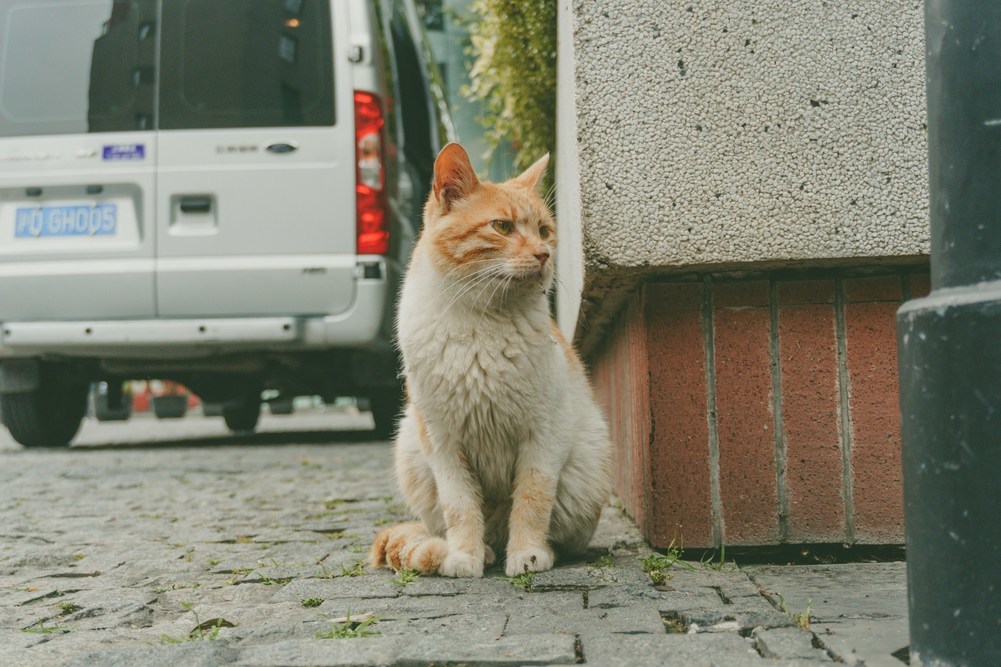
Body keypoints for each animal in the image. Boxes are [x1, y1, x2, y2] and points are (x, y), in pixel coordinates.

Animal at [372, 144, 612, 576]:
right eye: (501, 226)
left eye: (544, 231)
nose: (544, 254)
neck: (482, 324)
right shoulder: (443, 443)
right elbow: (460, 506)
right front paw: (464, 555)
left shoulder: (543, 435)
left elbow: (532, 501)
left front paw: (527, 553)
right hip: (411, 448)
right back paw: (480, 550)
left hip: (586, 466)